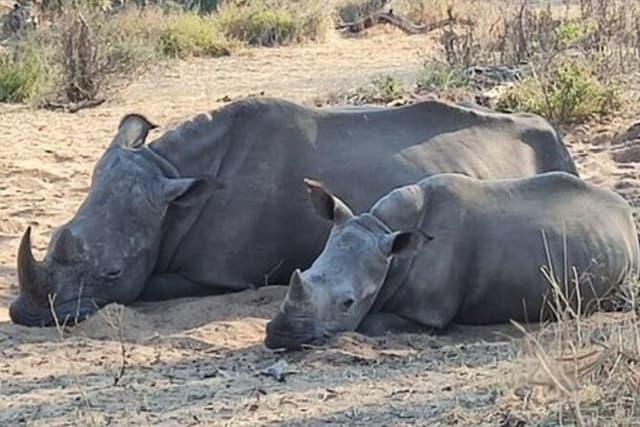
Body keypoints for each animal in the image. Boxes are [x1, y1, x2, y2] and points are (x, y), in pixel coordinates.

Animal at [264, 173, 639, 350]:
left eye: (348, 302)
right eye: (307, 271)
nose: (281, 333)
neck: (386, 238)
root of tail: (623, 208)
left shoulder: (427, 313)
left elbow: (368, 324)